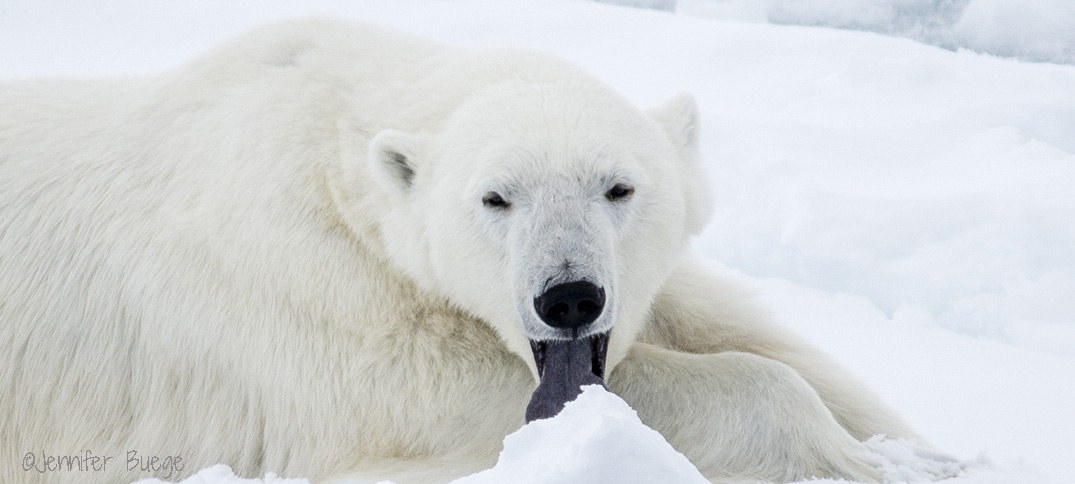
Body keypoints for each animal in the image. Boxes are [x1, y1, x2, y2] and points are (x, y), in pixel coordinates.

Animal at [1, 19, 931, 484]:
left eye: (617, 187)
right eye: (496, 197)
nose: (568, 298)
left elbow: (756, 335)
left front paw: (915, 450)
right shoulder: (304, 290)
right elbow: (442, 393)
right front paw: (855, 463)